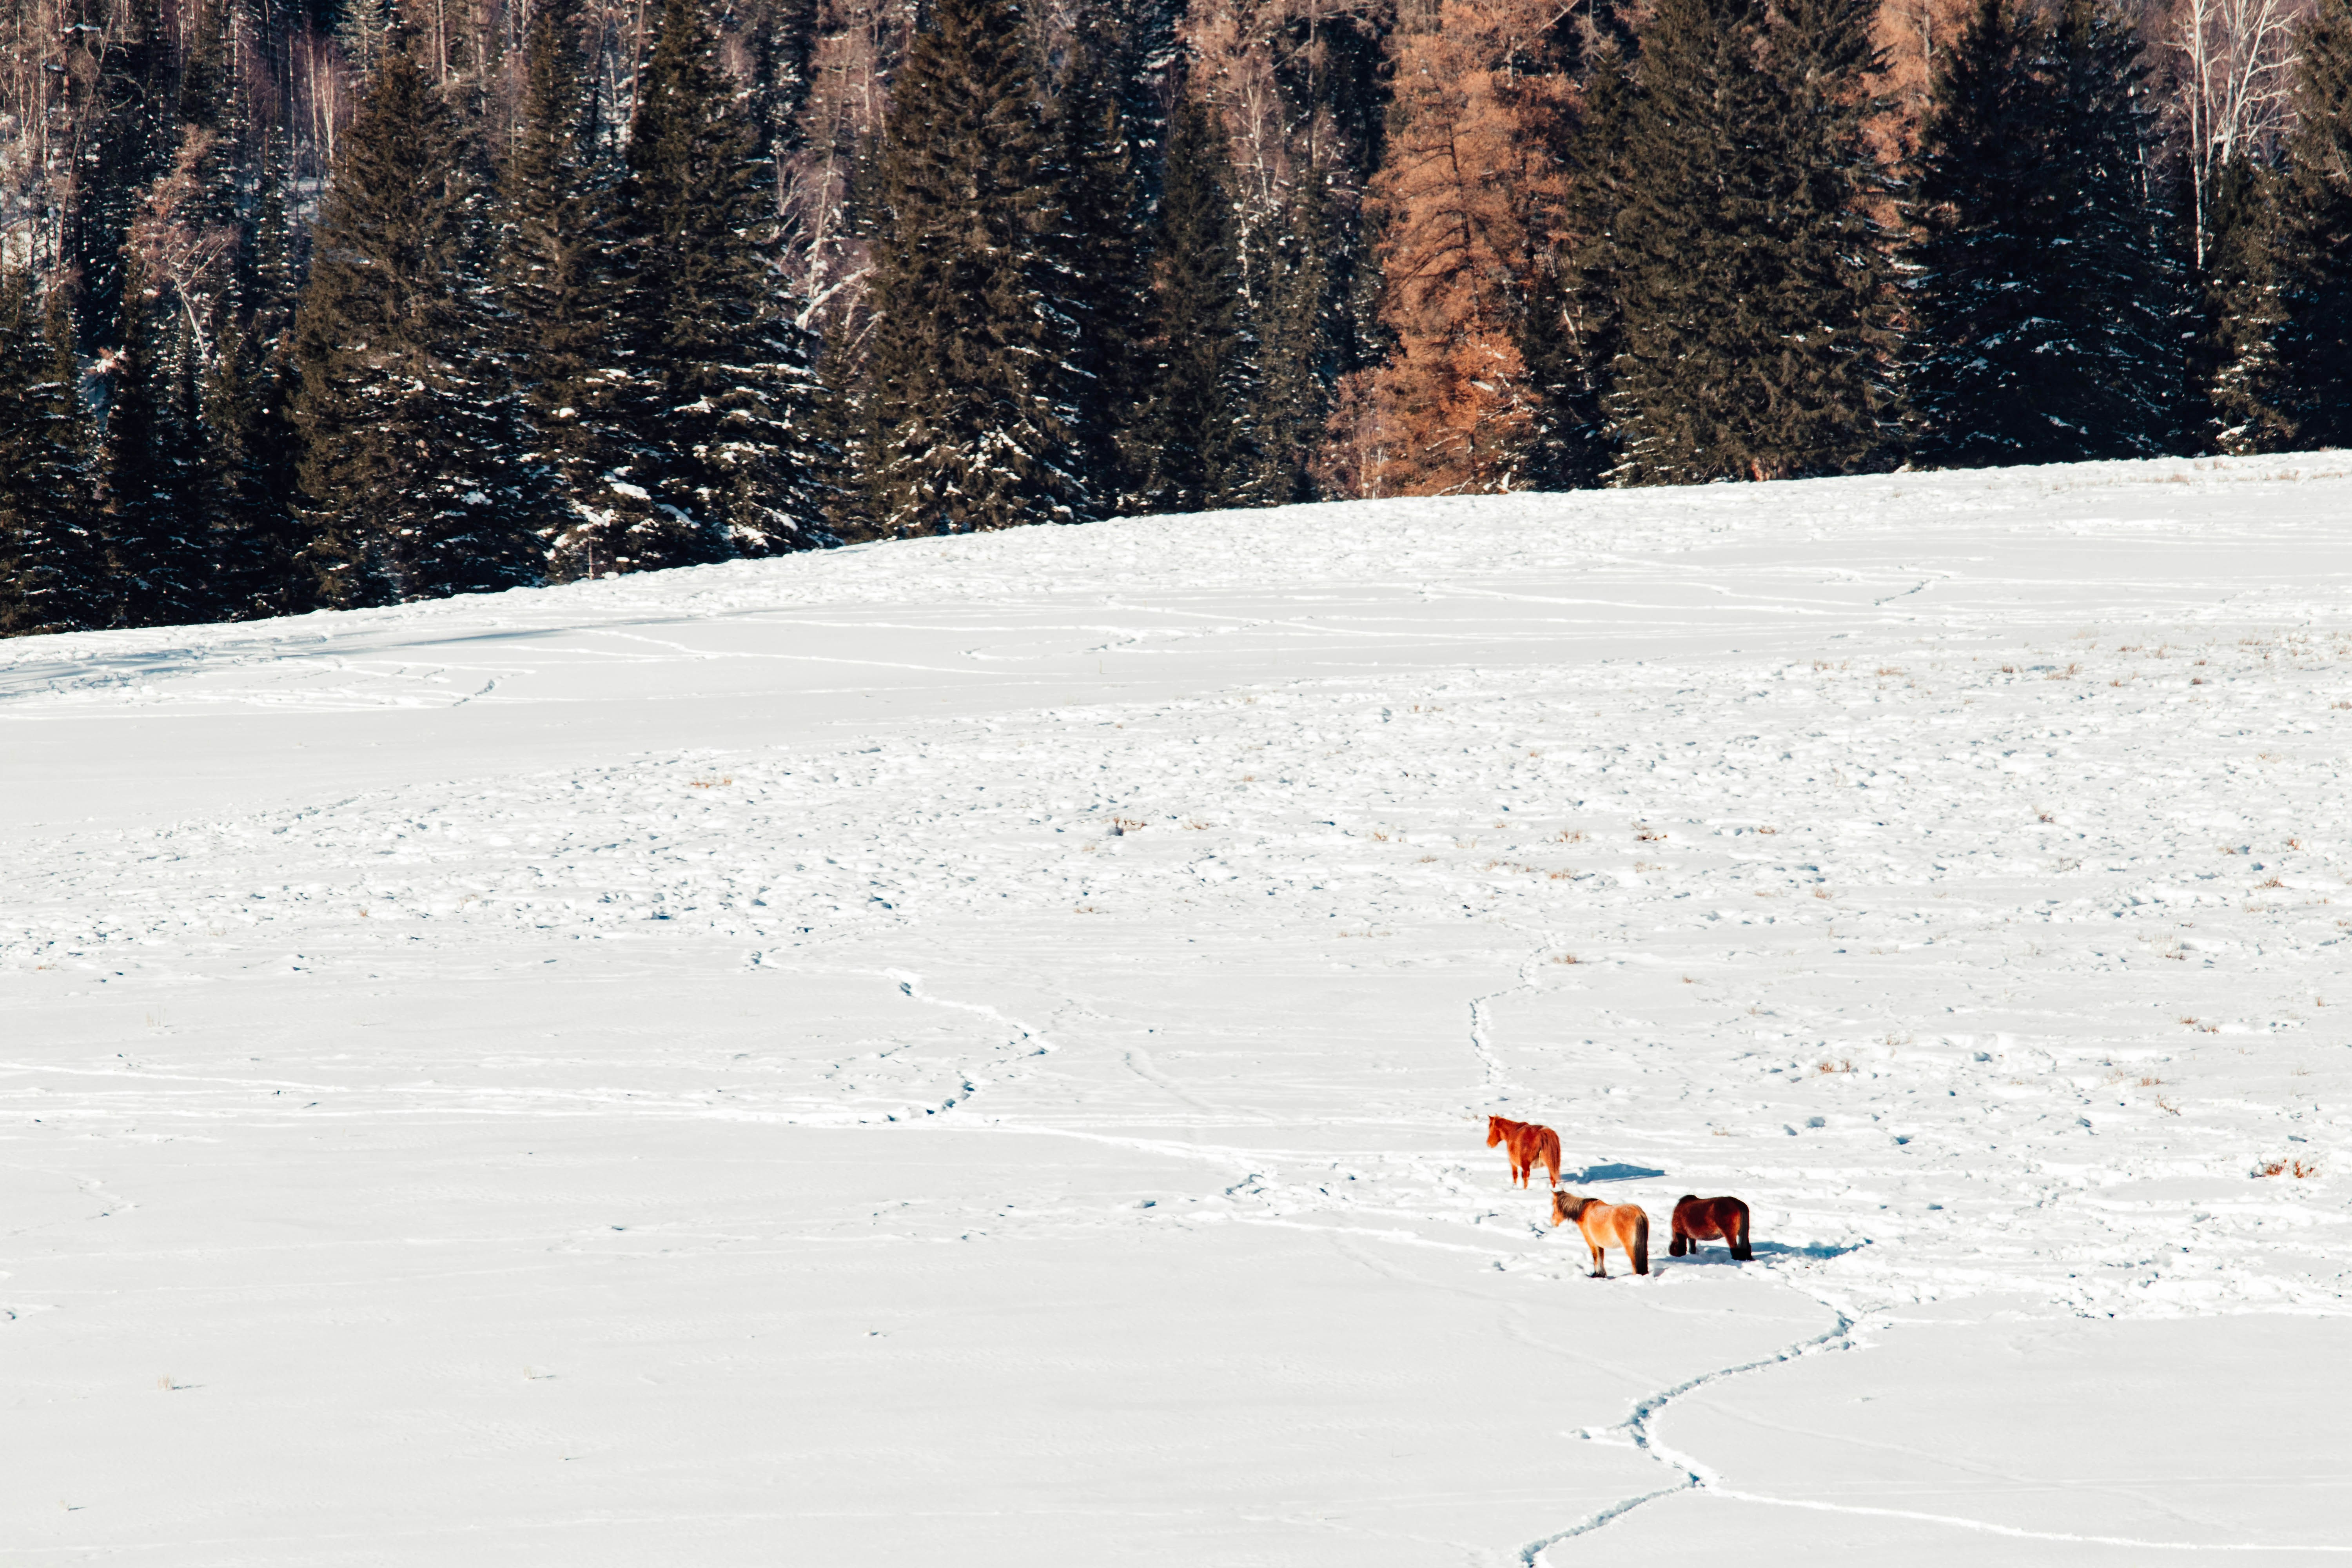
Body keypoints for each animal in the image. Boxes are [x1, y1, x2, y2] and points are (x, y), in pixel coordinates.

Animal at [1486, 1115, 1562, 1189]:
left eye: (1490, 1128)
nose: (1488, 1144)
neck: (1512, 1131)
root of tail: (1543, 1133)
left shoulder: (1513, 1162)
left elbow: (1515, 1175)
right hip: (1551, 1165)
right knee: (1552, 1179)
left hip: (1526, 1165)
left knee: (1526, 1178)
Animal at [1551, 1191, 1649, 1277]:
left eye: (1553, 1205)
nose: (1553, 1222)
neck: (1584, 1211)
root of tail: (1638, 1212)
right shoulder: (1599, 1244)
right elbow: (1601, 1257)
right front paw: (1600, 1275)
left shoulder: (1592, 1242)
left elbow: (1596, 1257)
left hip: (1631, 1248)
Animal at [1669, 1194, 1752, 1261]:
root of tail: (1737, 1204)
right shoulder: (1691, 1237)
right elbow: (1692, 1249)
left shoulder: (1681, 1233)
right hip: (1744, 1233)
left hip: (1730, 1234)